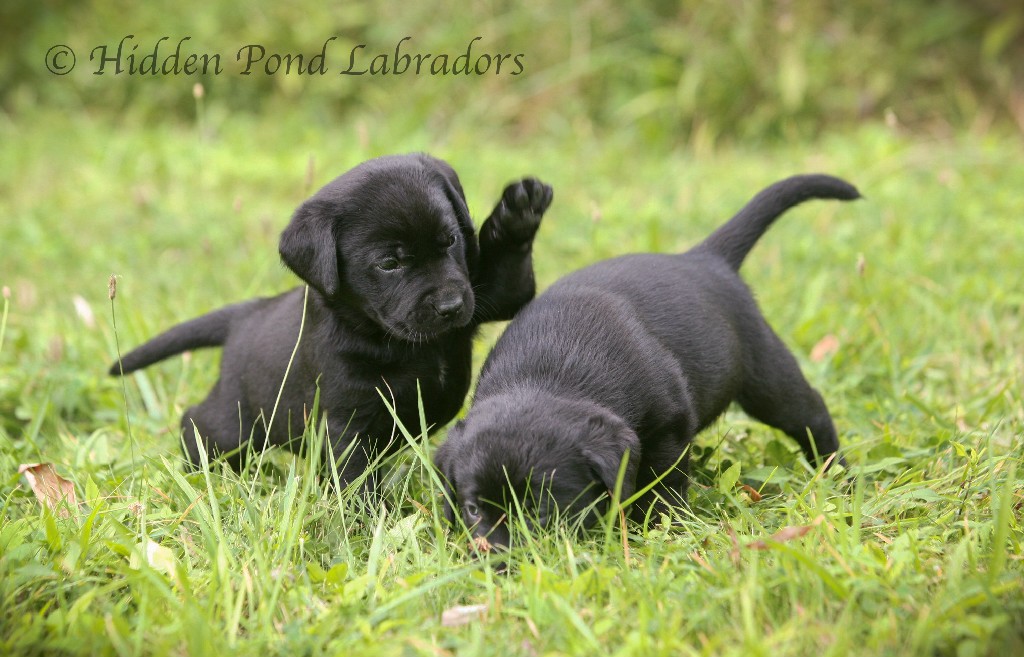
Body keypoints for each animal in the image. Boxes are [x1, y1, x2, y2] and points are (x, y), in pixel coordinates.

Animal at [113, 151, 557, 483]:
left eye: (449, 241)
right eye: (390, 263)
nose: (449, 306)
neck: (384, 335)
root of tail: (245, 314)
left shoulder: (487, 295)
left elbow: (510, 282)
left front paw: (518, 213)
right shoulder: (347, 421)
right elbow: (354, 478)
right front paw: (368, 526)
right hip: (237, 418)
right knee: (199, 422)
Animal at [436, 172, 860, 540]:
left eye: (542, 510)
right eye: (472, 509)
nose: (500, 562)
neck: (550, 372)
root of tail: (704, 259)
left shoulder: (669, 427)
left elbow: (661, 483)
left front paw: (656, 526)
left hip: (767, 376)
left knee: (811, 415)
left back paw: (839, 474)